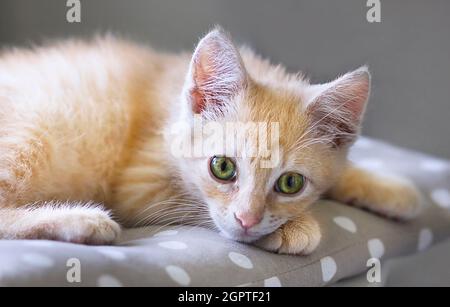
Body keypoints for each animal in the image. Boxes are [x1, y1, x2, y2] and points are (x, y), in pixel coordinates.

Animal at [0, 28, 422, 255]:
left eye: (290, 183)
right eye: (222, 167)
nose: (247, 220)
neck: (171, 110)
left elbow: (339, 171)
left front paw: (391, 189)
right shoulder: (138, 184)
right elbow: (195, 208)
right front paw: (294, 228)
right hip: (37, 131)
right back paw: (80, 220)